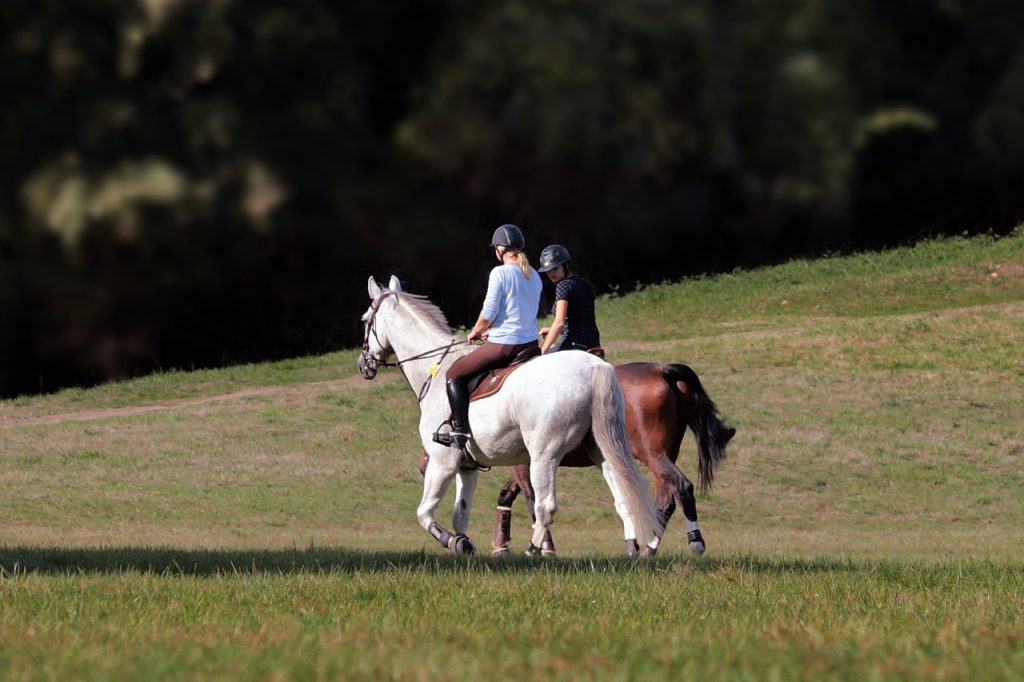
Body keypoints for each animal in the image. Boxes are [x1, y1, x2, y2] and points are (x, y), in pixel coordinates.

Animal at [358, 275, 660, 555]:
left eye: (364, 320)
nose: (363, 365)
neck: (434, 369)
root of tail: (595, 366)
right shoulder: (467, 467)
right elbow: (461, 514)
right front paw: (463, 543)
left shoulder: (442, 462)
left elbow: (424, 513)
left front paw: (450, 540)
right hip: (601, 451)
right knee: (624, 496)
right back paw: (633, 548)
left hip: (543, 456)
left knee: (545, 505)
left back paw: (533, 550)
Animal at [420, 363, 735, 556]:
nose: (424, 464)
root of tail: (664, 370)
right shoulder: (530, 462)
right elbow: (510, 495)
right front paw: (503, 545)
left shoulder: (527, 463)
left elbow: (531, 500)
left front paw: (540, 547)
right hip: (660, 456)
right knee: (665, 496)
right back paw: (649, 544)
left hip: (654, 455)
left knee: (679, 488)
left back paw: (682, 542)